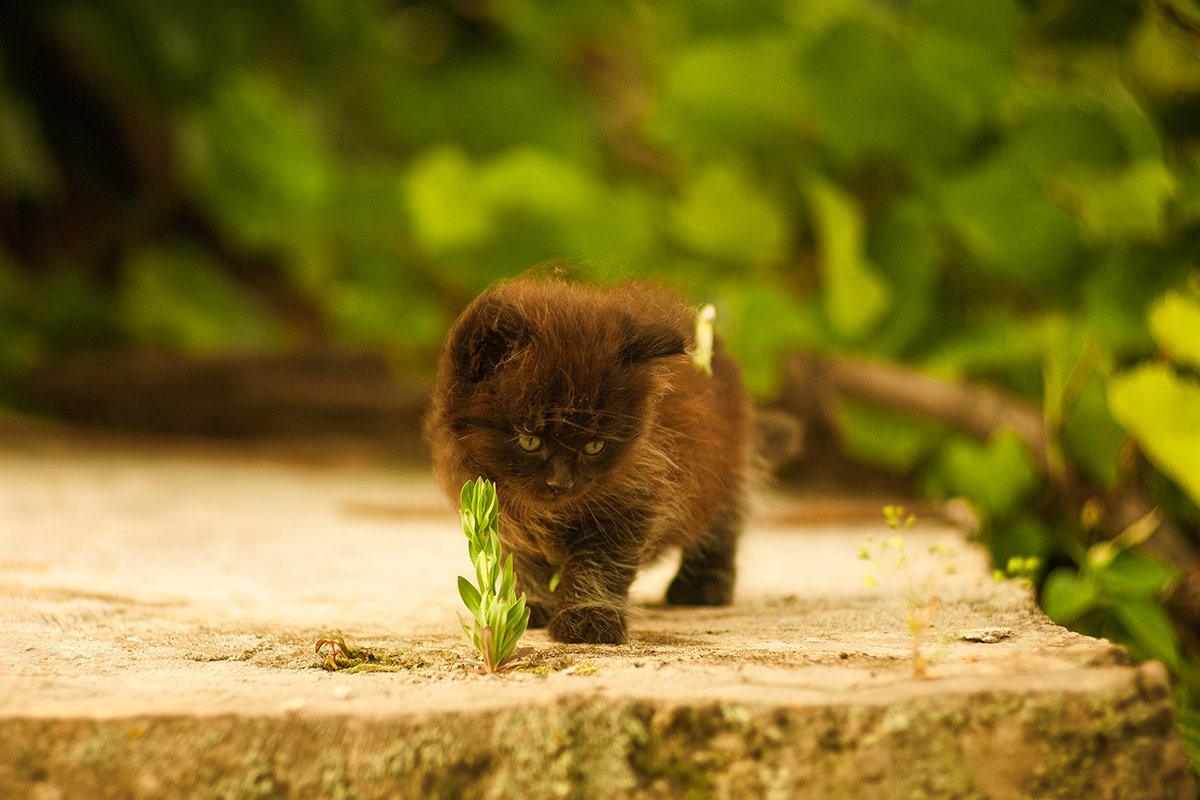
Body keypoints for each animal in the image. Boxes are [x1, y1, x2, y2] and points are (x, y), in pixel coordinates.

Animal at [424, 275, 748, 642]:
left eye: (595, 446)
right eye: (529, 440)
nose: (562, 482)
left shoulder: (634, 498)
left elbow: (600, 565)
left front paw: (589, 619)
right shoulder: (498, 508)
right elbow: (520, 560)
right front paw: (522, 609)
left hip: (724, 466)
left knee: (723, 521)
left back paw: (703, 585)